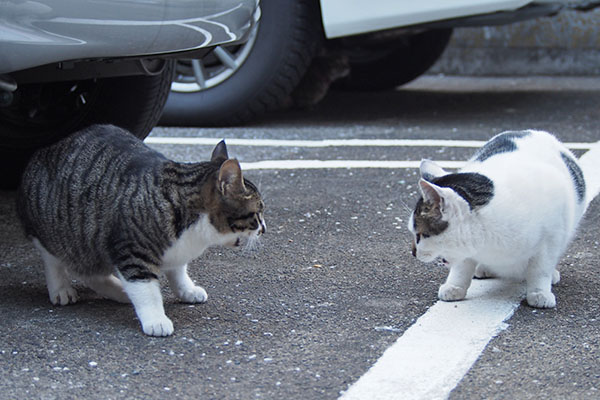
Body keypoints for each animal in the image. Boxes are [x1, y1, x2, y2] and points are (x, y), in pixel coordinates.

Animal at [17, 124, 264, 334]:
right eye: (258, 212)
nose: (264, 228)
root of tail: (46, 149)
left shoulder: (176, 251)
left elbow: (178, 272)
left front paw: (187, 289)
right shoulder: (131, 252)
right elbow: (146, 291)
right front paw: (156, 319)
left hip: (89, 240)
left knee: (89, 271)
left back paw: (118, 290)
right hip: (57, 230)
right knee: (55, 260)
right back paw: (60, 288)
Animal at [408, 130, 600, 308]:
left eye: (420, 234)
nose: (413, 253)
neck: (488, 242)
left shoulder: (550, 239)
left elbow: (540, 269)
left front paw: (539, 293)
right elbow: (462, 267)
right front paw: (455, 287)